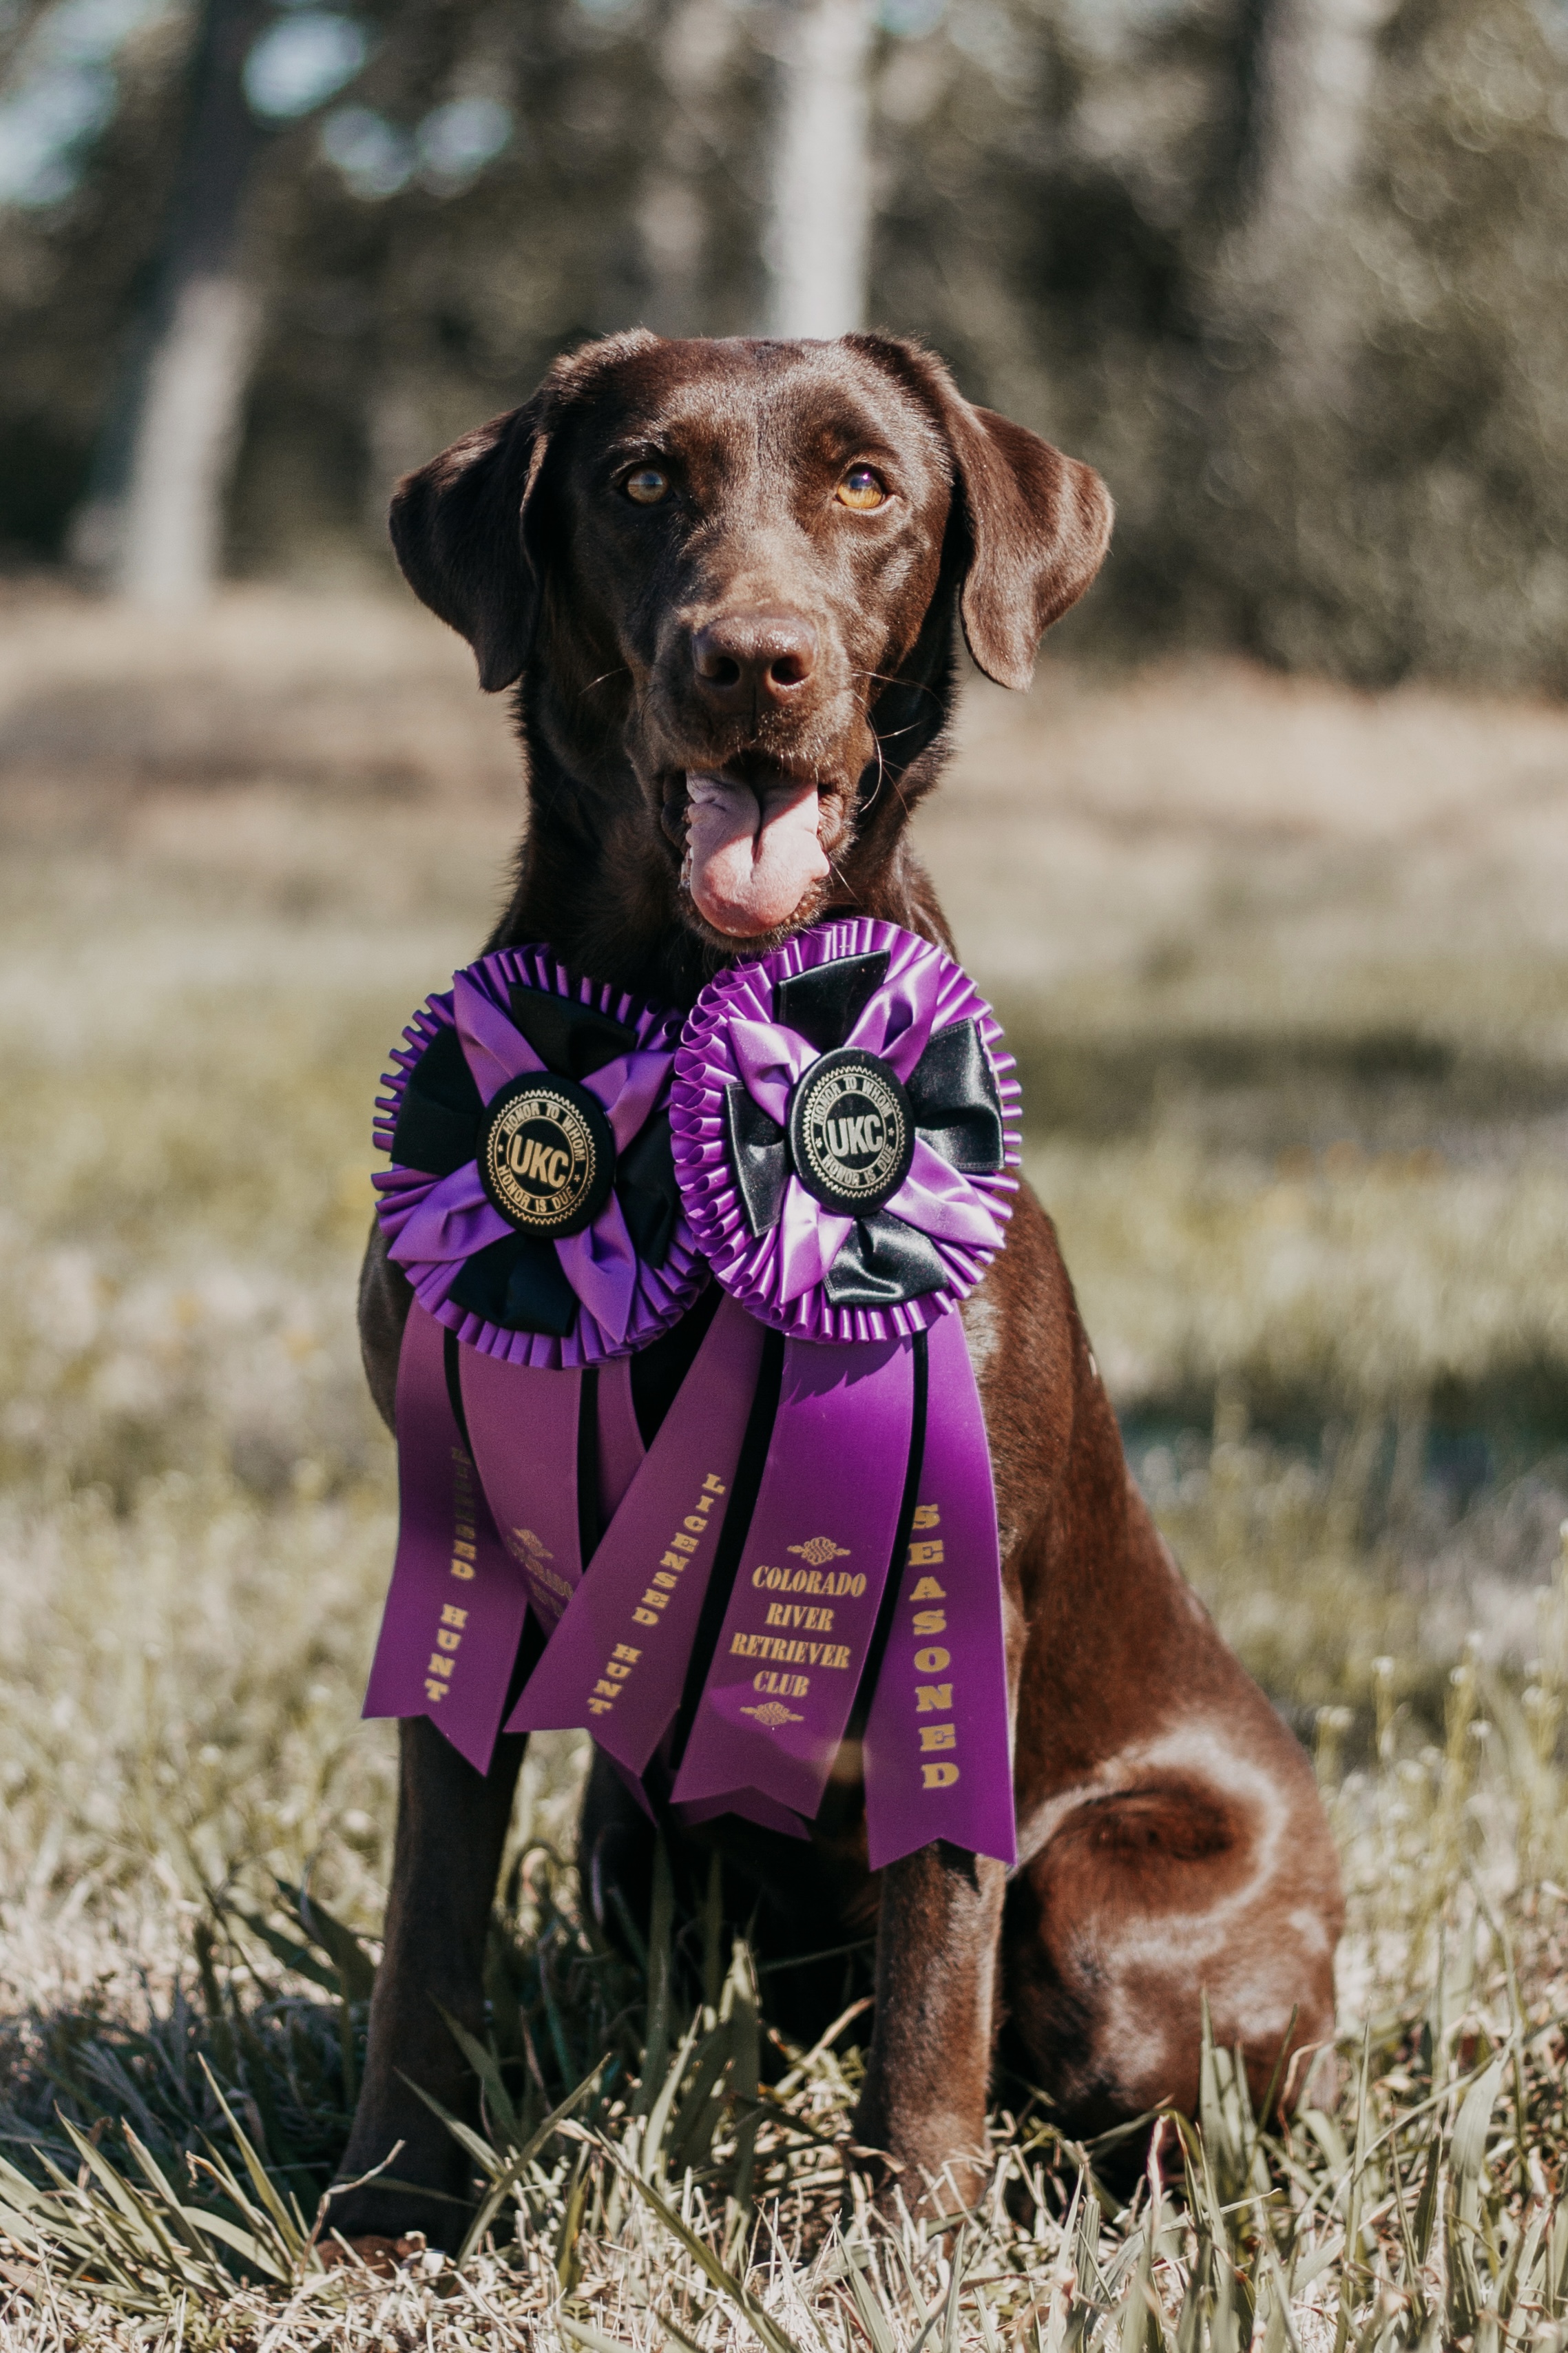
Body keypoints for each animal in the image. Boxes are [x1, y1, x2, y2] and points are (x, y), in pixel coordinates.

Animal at [330, 330, 1342, 2246]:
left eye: (865, 483)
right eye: (639, 480)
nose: (753, 659)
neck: (692, 1016)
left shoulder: (955, 1583)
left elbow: (940, 1942)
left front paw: (911, 2234)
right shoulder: (467, 1533)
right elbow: (428, 1923)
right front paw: (388, 2196)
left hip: (1117, 1897)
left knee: (1163, 2104)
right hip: (632, 1825)